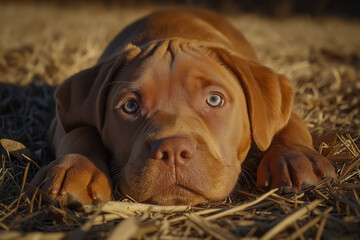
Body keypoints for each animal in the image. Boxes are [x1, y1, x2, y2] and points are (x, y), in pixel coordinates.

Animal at [31, 8, 338, 205]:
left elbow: (286, 125)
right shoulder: (62, 116)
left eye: (214, 100)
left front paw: (294, 158)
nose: (173, 151)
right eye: (130, 106)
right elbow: (81, 130)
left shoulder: (281, 106)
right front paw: (77, 168)